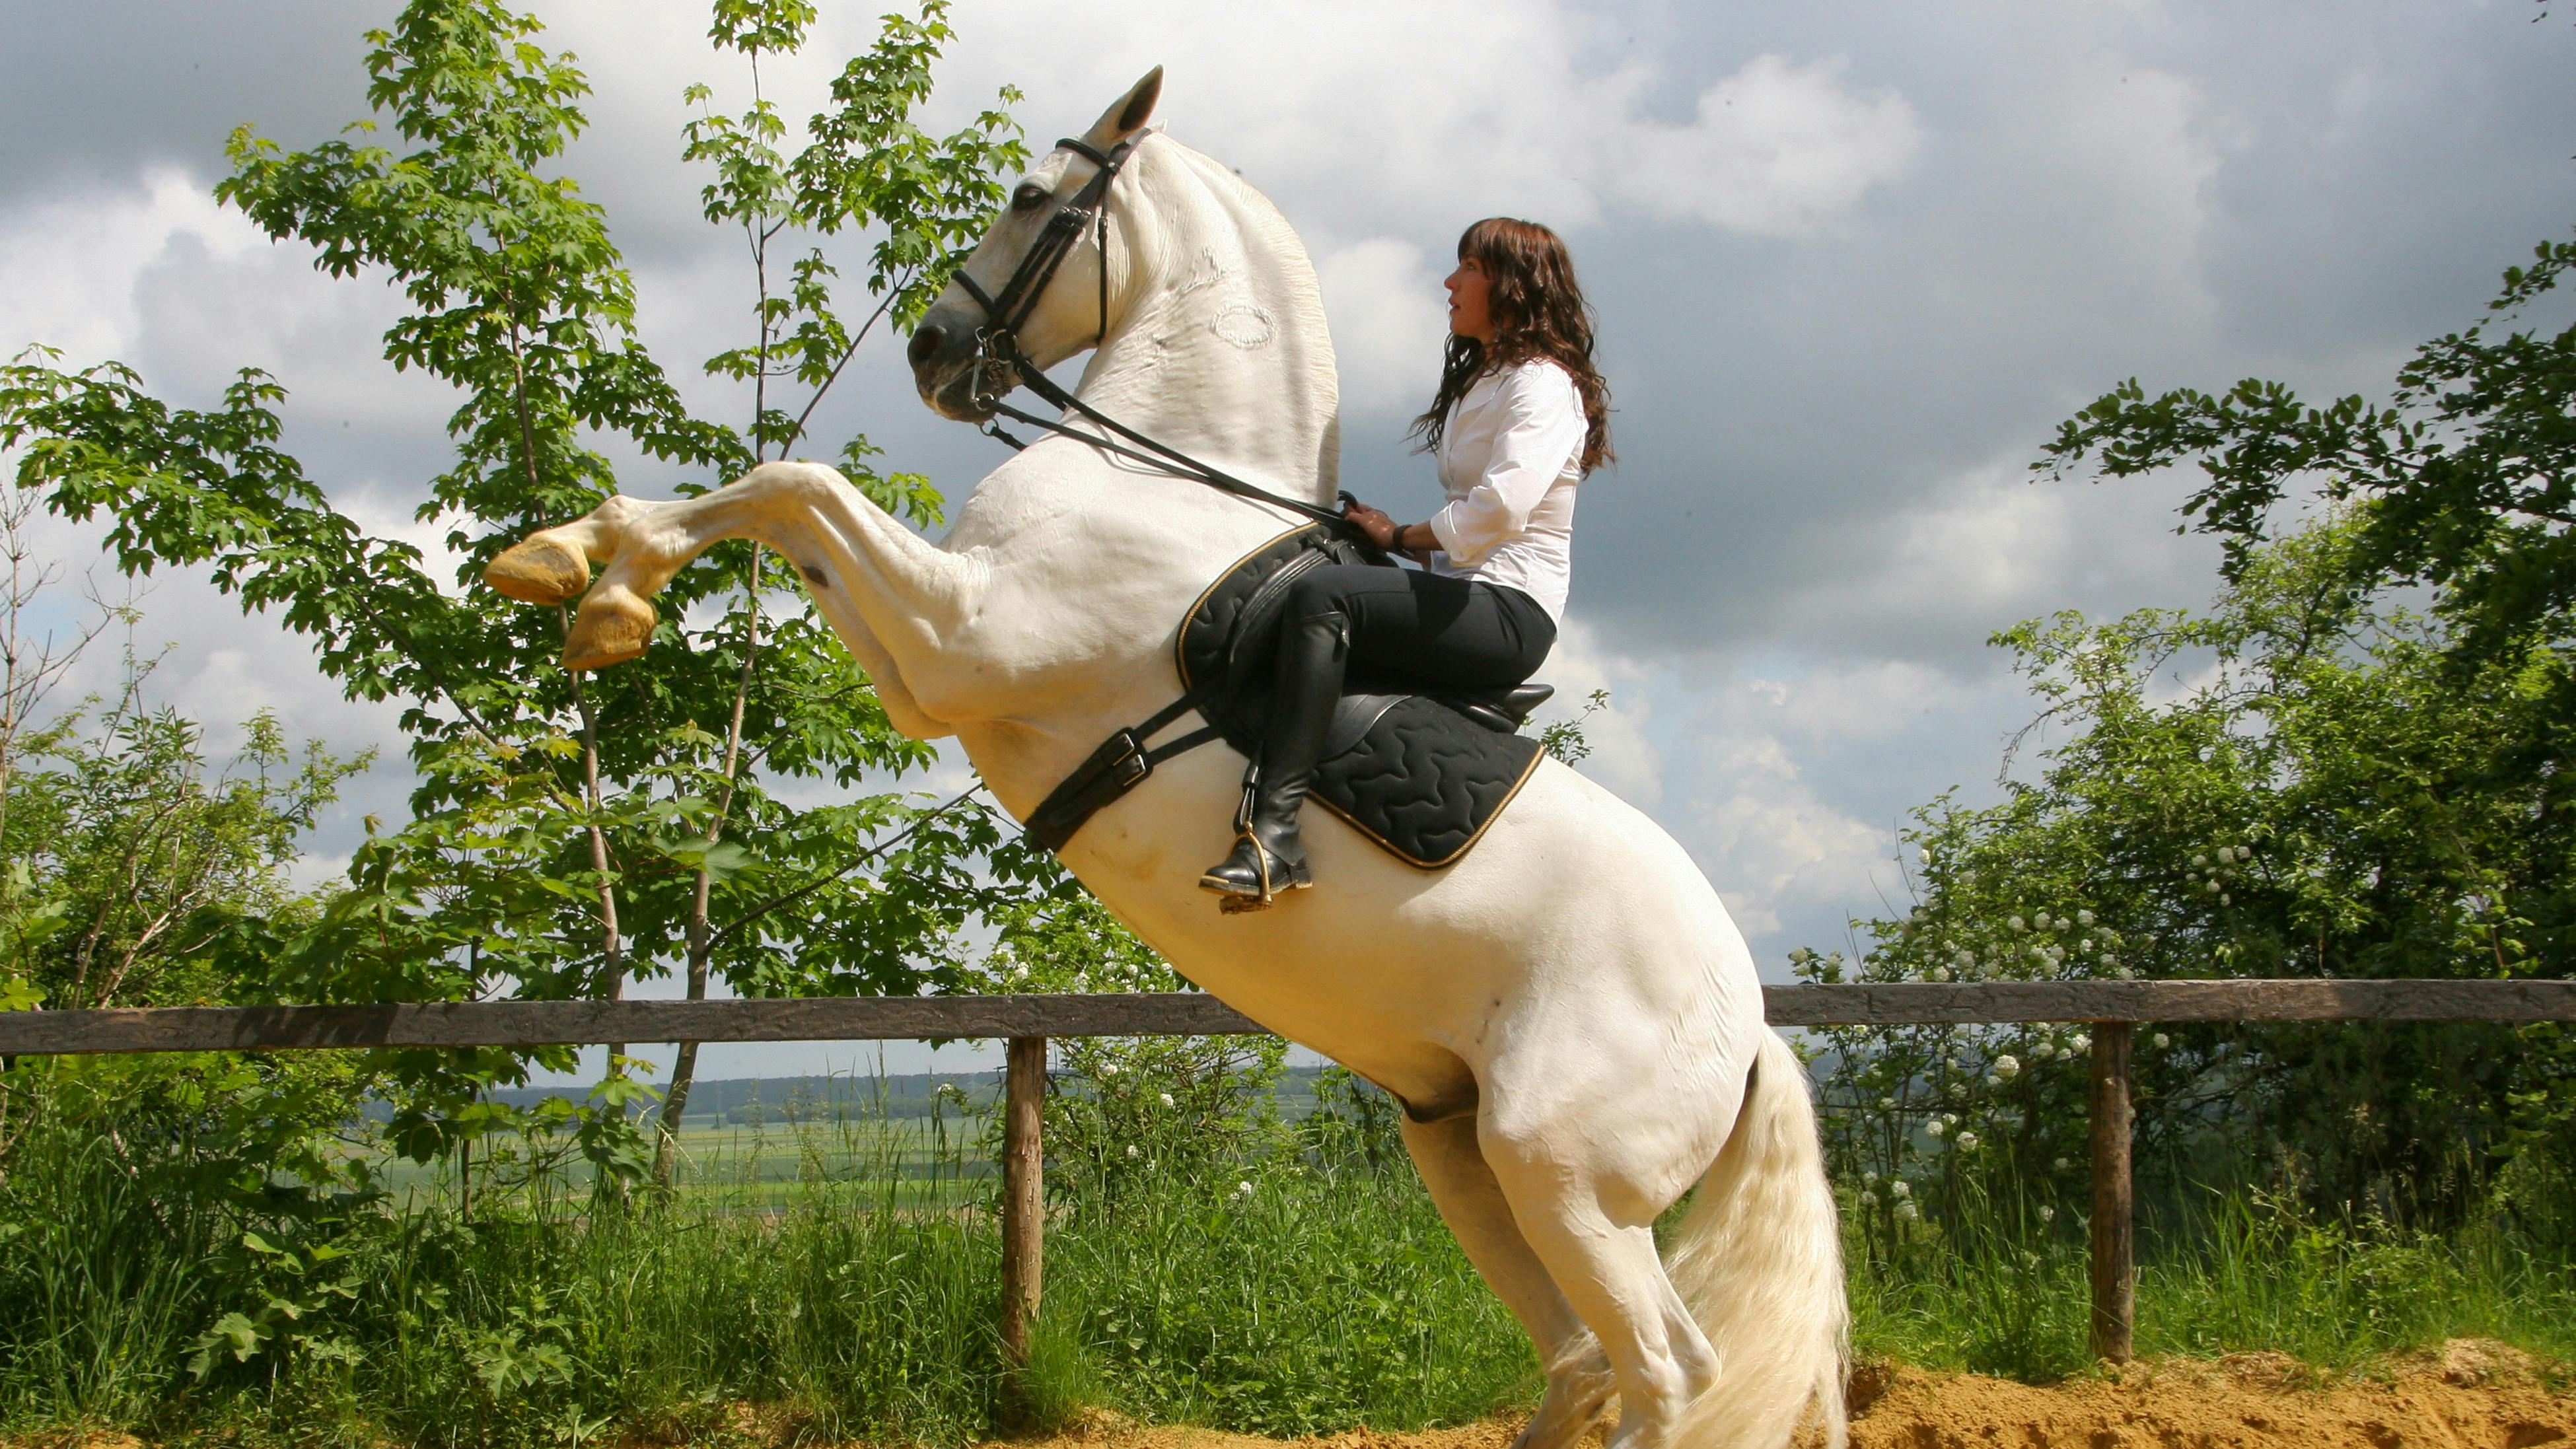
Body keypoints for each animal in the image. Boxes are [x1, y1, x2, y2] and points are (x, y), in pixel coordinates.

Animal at [484, 70, 1847, 1449]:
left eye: (1028, 194)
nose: (932, 351)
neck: (1156, 475)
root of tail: (1747, 1027)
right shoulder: (932, 660)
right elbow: (782, 504)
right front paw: (573, 562)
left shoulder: (963, 639)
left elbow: (790, 481)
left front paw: (596, 587)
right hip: (1465, 1148)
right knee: (1581, 1359)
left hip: (1564, 1174)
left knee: (1670, 1369)